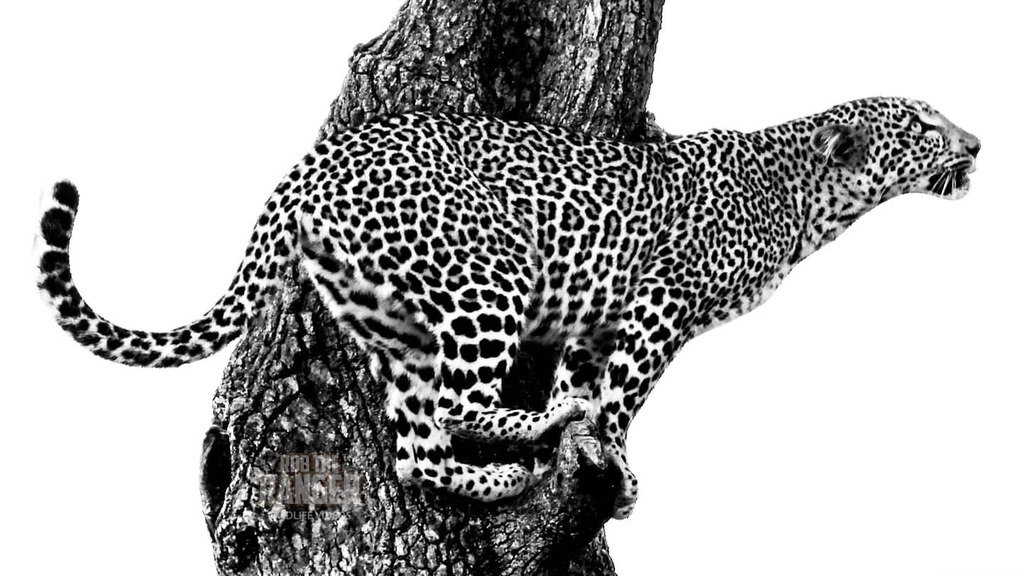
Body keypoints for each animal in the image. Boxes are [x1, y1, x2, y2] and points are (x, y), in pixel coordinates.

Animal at [37, 96, 980, 519]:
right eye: (924, 125)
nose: (976, 142)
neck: (809, 200)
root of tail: (307, 168)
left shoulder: (600, 318)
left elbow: (589, 379)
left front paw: (591, 440)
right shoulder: (659, 307)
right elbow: (619, 400)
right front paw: (615, 459)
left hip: (391, 315)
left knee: (416, 445)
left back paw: (500, 475)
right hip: (488, 282)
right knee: (457, 406)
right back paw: (531, 430)